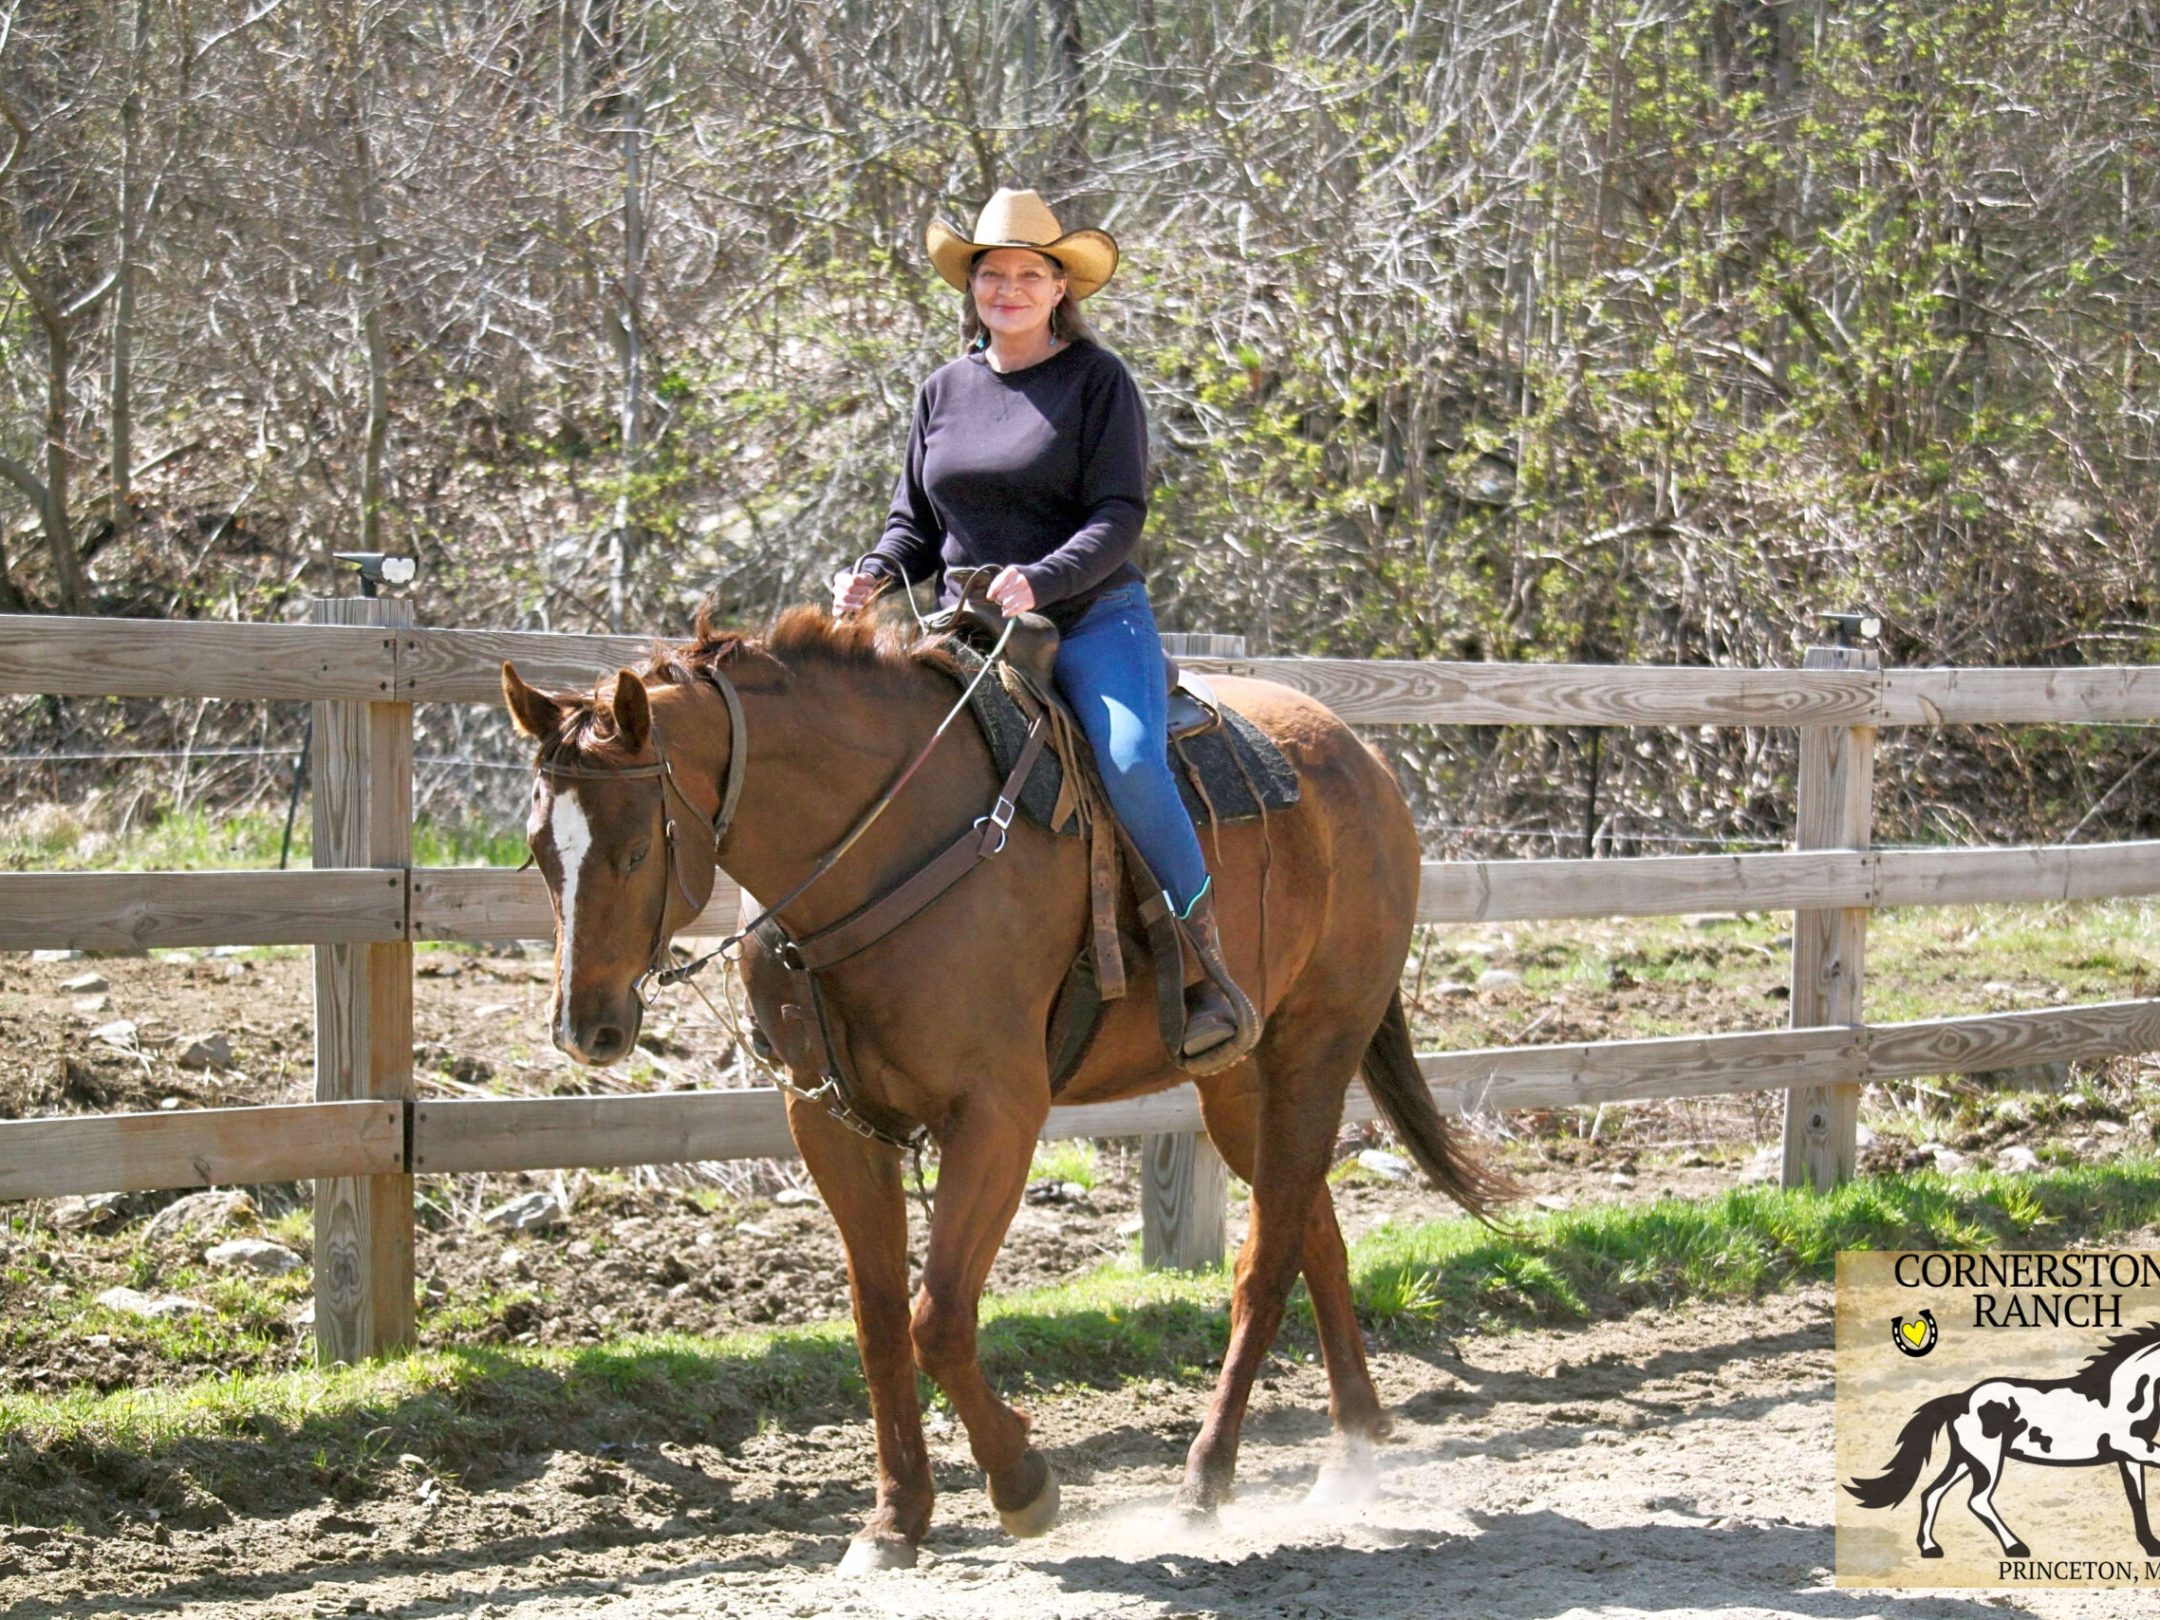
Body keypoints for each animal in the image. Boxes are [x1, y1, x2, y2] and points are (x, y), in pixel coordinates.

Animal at [501, 605, 1511, 1572]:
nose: (585, 1028)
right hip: (1238, 1089)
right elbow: (879, 1323)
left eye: (635, 850)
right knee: (1313, 1235)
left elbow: (940, 1317)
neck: (878, 848)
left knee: (1264, 1264)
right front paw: (894, 1521)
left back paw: (1207, 1479)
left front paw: (1023, 1484)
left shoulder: (996, 1115)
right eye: (541, 852)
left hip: (1316, 1051)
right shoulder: (831, 1124)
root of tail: (1361, 759)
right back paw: (1350, 1451)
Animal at [1846, 1320, 2160, 1559]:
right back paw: (2015, 1547)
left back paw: (1930, 1548)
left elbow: (2136, 1499)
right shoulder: (2134, 1447)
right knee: (1977, 1500)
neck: (2123, 1397)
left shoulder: (2130, 1456)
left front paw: (2151, 1546)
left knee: (1932, 1493)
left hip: (1965, 1459)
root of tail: (1961, 1399)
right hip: (1986, 1460)